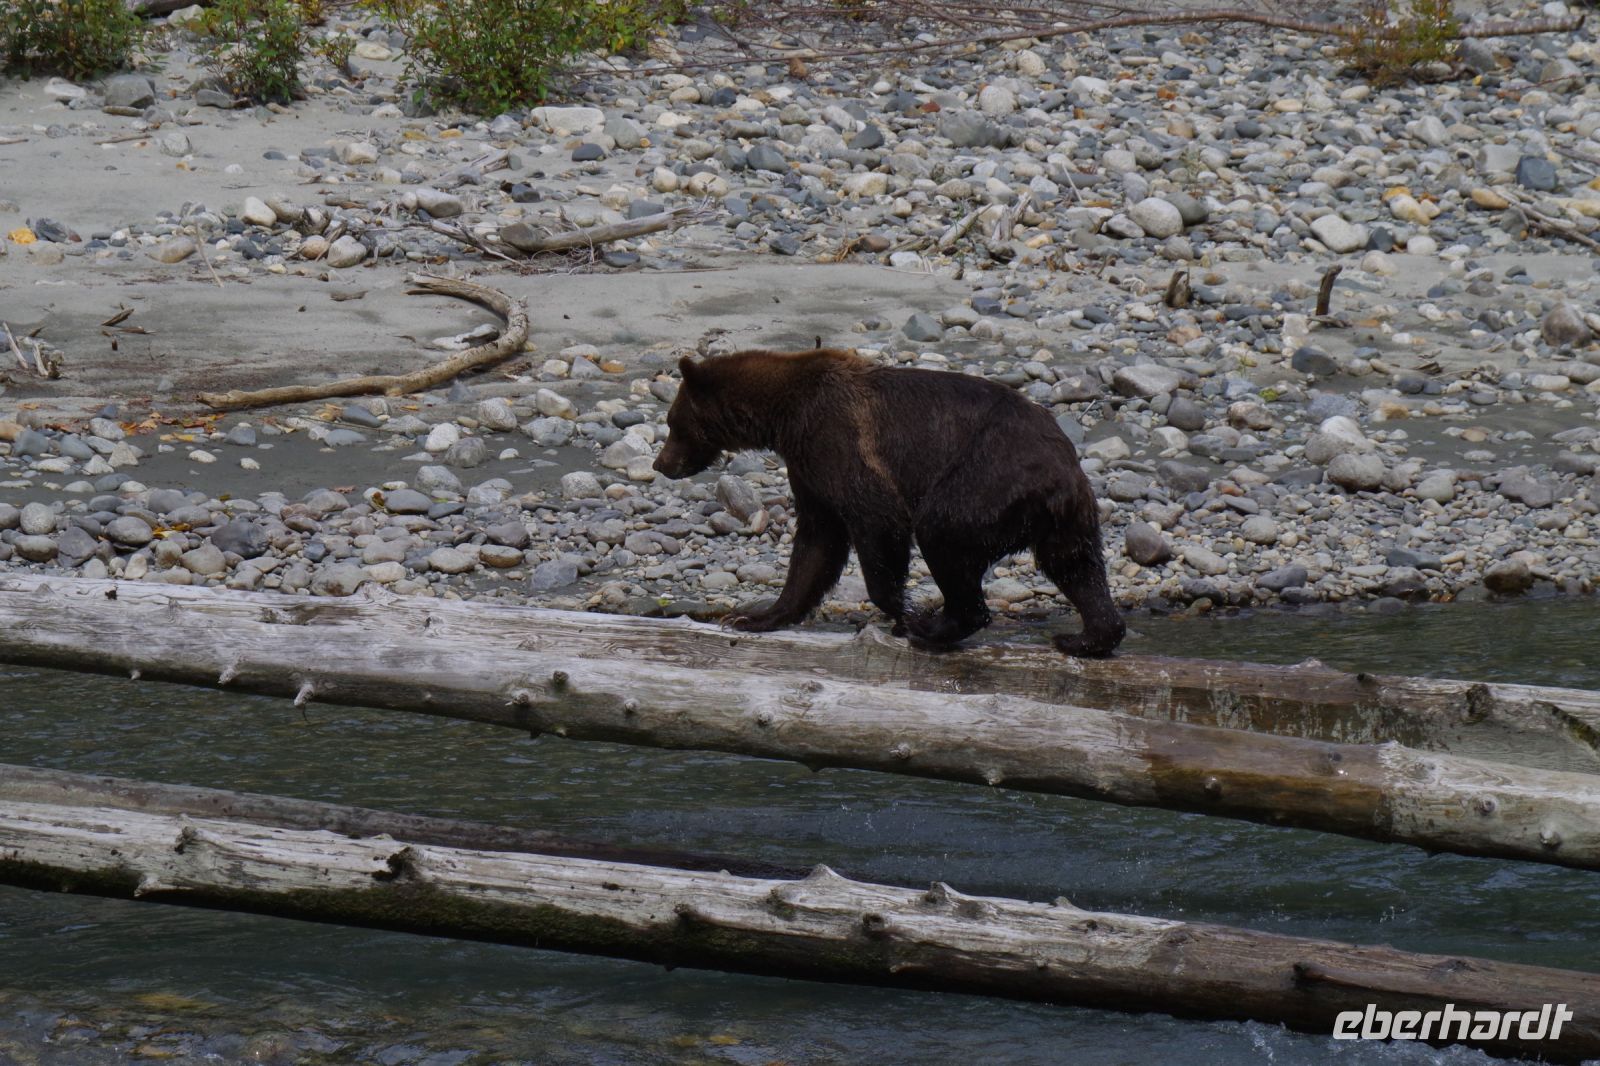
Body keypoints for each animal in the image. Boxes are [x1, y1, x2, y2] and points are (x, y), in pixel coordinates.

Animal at [652, 348, 1125, 658]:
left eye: (674, 422)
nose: (660, 463)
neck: (783, 414)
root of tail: (1062, 474)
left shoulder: (837, 440)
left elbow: (875, 519)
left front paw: (902, 610)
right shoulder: (808, 467)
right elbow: (816, 543)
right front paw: (756, 617)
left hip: (986, 479)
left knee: (942, 530)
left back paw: (934, 625)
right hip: (1068, 515)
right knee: (1078, 566)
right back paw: (1087, 637)